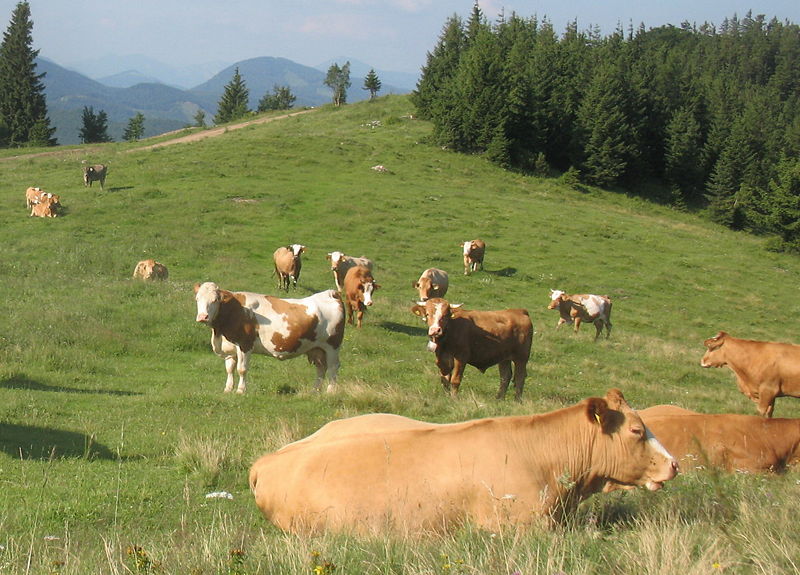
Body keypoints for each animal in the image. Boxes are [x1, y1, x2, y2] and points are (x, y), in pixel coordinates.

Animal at [194, 282, 345, 393]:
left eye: (215, 300)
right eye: (197, 299)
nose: (202, 317)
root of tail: (330, 293)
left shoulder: (245, 344)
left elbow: (242, 369)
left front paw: (241, 390)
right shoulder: (230, 348)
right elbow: (230, 369)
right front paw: (228, 389)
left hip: (332, 346)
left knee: (333, 367)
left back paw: (330, 391)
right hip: (317, 349)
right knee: (321, 368)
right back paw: (315, 390)